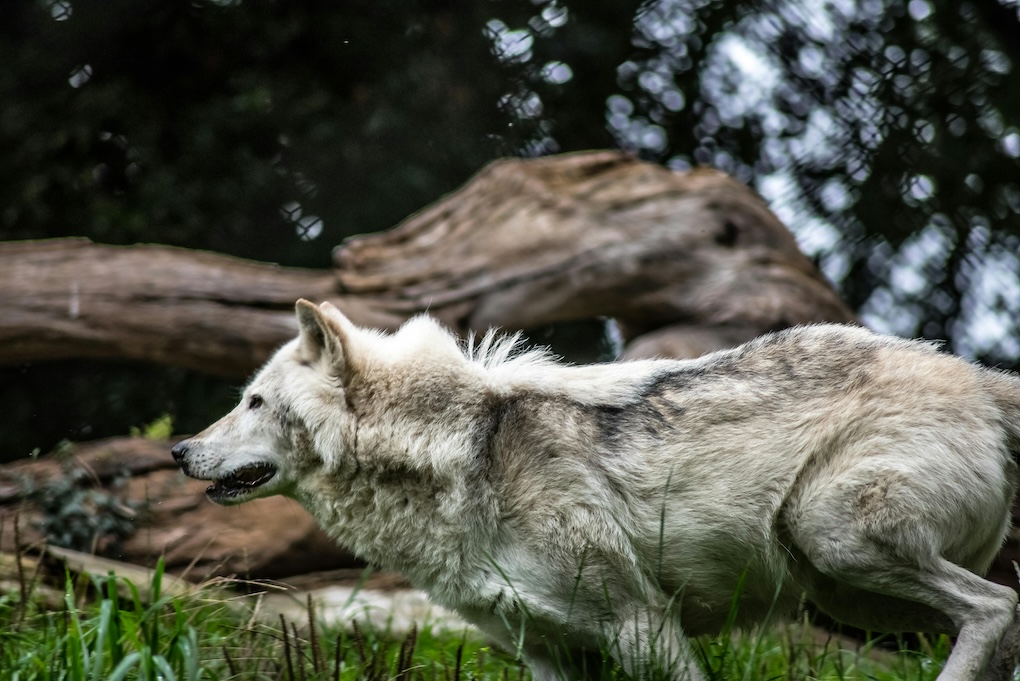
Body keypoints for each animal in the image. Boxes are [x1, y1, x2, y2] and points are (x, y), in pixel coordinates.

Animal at [173, 299, 1020, 681]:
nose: (180, 449)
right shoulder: (547, 653)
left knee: (995, 605)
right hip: (852, 593)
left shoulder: (645, 625)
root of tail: (976, 374)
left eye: (253, 401)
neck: (453, 451)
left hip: (835, 542)